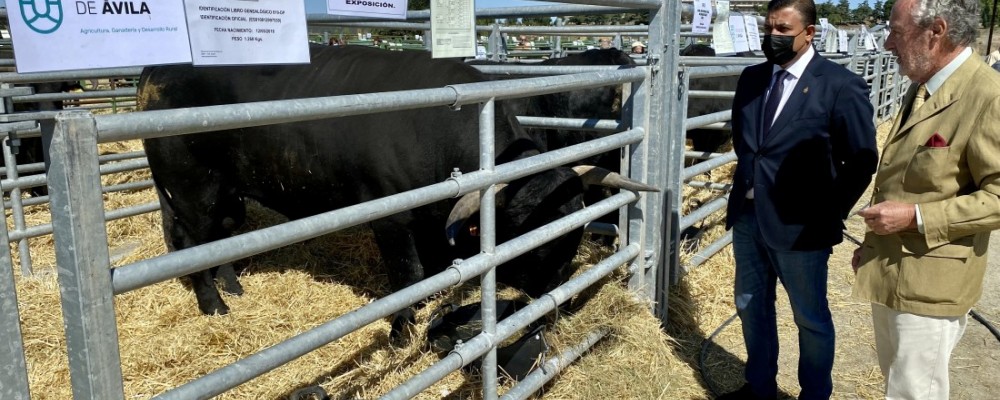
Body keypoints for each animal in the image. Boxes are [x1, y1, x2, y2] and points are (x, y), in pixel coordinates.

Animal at [139, 44, 656, 322]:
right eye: (533, 241)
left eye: (573, 237)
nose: (560, 299)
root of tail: (158, 69)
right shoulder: (391, 221)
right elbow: (407, 275)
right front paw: (404, 323)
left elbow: (430, 270)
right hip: (191, 191)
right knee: (193, 243)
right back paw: (214, 306)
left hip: (227, 192)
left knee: (221, 240)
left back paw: (234, 288)